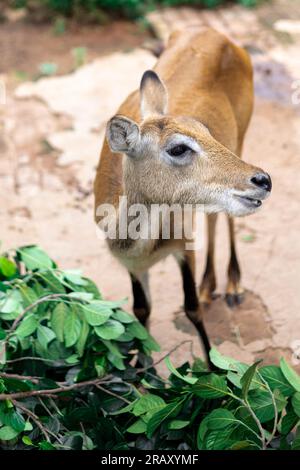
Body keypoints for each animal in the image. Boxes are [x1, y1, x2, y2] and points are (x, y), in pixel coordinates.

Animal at [94, 28, 272, 368]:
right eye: (178, 147)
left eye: (204, 130)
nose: (263, 180)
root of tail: (215, 33)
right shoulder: (132, 265)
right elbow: (141, 309)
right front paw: (143, 369)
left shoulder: (184, 245)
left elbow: (191, 308)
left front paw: (215, 369)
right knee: (214, 215)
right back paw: (209, 286)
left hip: (241, 139)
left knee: (225, 218)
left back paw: (231, 286)